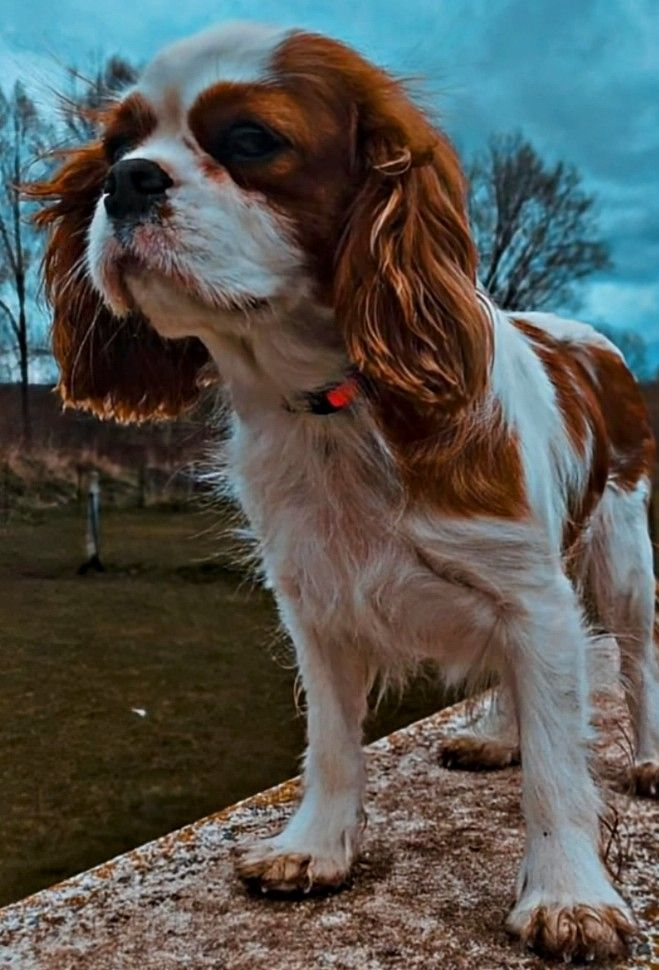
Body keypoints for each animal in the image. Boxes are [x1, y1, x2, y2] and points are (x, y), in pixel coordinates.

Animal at [32, 22, 659, 960]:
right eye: (114, 146)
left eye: (250, 140)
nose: (126, 180)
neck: (332, 404)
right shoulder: (317, 605)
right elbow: (332, 743)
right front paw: (315, 848)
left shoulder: (532, 594)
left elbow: (557, 768)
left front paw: (567, 894)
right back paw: (494, 738)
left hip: (619, 557)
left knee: (638, 658)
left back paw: (649, 757)